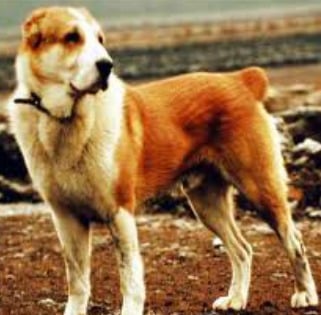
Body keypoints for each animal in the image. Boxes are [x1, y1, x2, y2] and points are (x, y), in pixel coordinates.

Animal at [8, 5, 318, 315]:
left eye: (100, 39)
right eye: (72, 37)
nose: (107, 65)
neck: (65, 120)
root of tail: (240, 80)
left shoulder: (119, 212)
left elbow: (129, 276)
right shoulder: (66, 218)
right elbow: (77, 281)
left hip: (260, 188)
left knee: (295, 242)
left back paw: (305, 294)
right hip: (206, 203)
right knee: (243, 250)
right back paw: (236, 299)